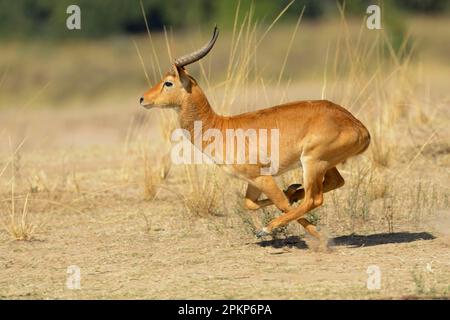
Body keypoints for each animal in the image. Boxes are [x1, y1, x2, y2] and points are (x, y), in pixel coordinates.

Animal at [140, 26, 370, 239]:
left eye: (168, 82)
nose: (143, 99)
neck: (220, 127)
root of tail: (359, 127)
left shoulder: (261, 176)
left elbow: (282, 203)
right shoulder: (252, 181)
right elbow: (251, 204)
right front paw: (291, 193)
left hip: (313, 163)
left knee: (315, 199)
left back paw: (269, 227)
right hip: (324, 164)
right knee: (334, 183)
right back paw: (294, 191)